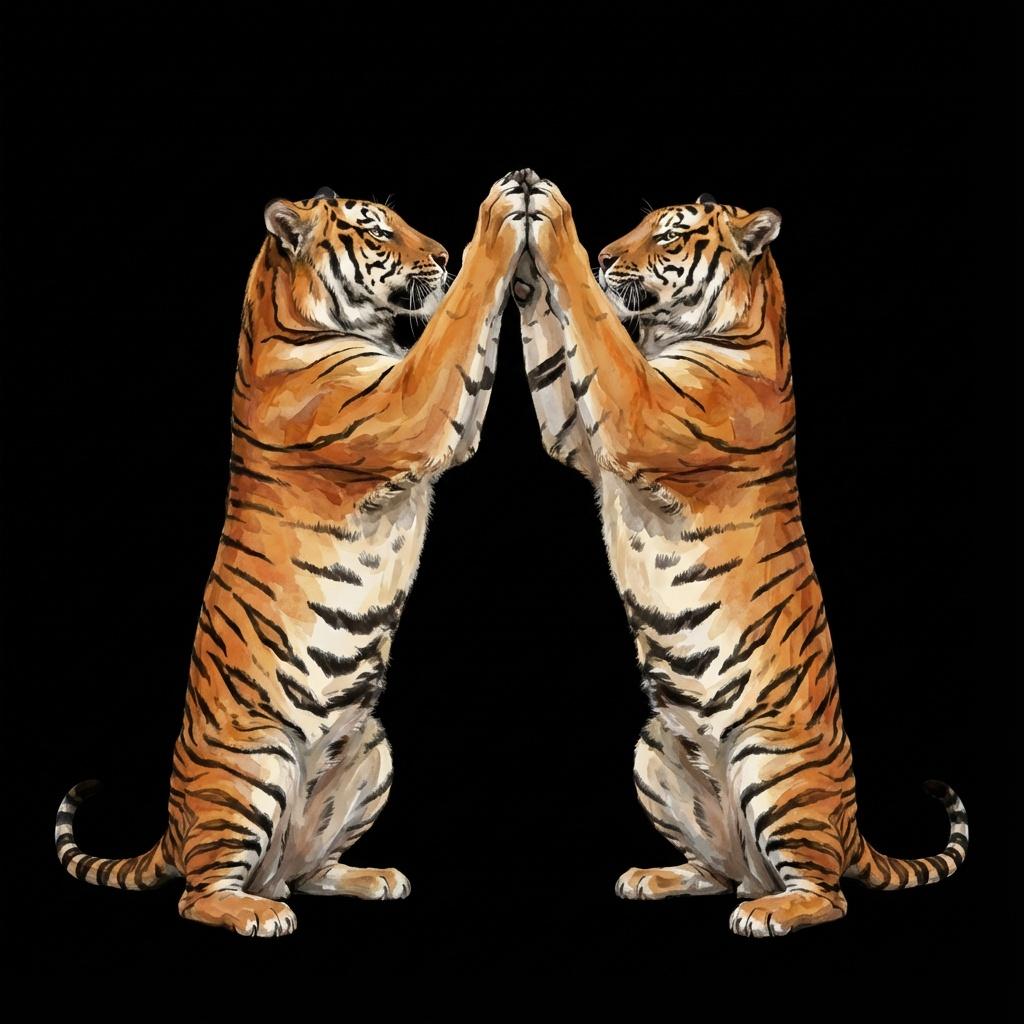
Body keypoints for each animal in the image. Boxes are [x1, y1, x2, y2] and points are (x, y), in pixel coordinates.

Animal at [55, 172, 530, 937]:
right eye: (376, 229)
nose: (437, 254)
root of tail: (173, 826)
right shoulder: (406, 407)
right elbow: (456, 322)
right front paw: (501, 214)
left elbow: (468, 345)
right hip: (253, 766)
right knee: (198, 893)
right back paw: (254, 913)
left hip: (369, 752)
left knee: (304, 872)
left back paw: (370, 877)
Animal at [512, 172, 968, 937]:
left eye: (669, 235)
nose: (607, 255)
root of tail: (852, 827)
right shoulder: (583, 437)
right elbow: (554, 347)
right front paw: (519, 266)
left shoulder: (637, 412)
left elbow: (595, 324)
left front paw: (552, 223)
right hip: (656, 752)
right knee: (722, 872)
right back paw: (657, 877)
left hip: (774, 770)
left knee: (827, 893)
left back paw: (771, 913)